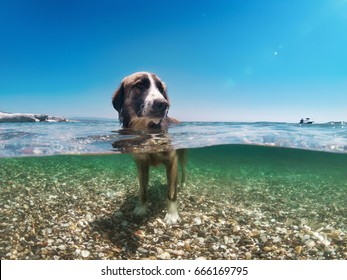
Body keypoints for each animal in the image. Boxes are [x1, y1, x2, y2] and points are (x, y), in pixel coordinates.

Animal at [113, 72, 186, 225]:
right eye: (140, 85)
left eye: (161, 89)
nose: (163, 104)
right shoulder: (141, 163)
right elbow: (143, 190)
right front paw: (141, 207)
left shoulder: (172, 161)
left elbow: (171, 192)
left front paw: (172, 214)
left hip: (182, 156)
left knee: (183, 170)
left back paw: (182, 184)